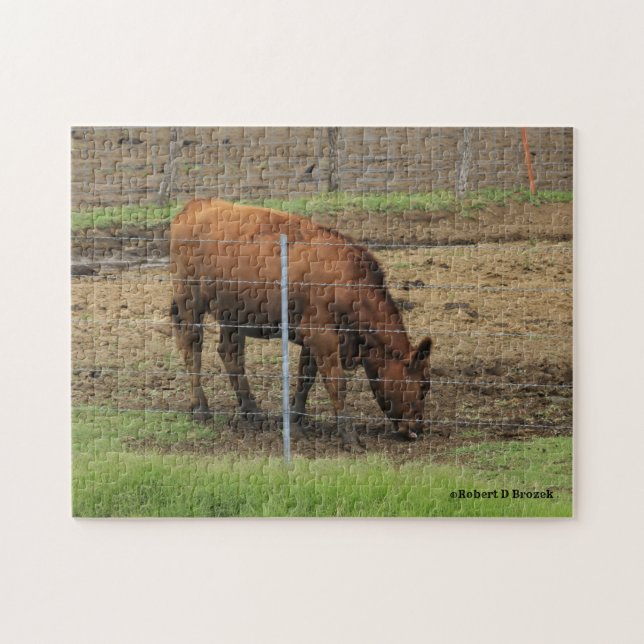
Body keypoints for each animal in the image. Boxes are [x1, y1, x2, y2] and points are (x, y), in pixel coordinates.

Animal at [169, 199, 432, 442]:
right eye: (422, 386)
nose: (417, 428)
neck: (348, 282)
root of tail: (196, 205)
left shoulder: (313, 339)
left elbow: (306, 379)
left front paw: (296, 422)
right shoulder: (322, 337)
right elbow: (336, 384)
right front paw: (349, 436)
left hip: (233, 314)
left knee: (230, 354)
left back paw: (252, 411)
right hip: (190, 301)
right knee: (192, 348)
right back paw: (201, 408)